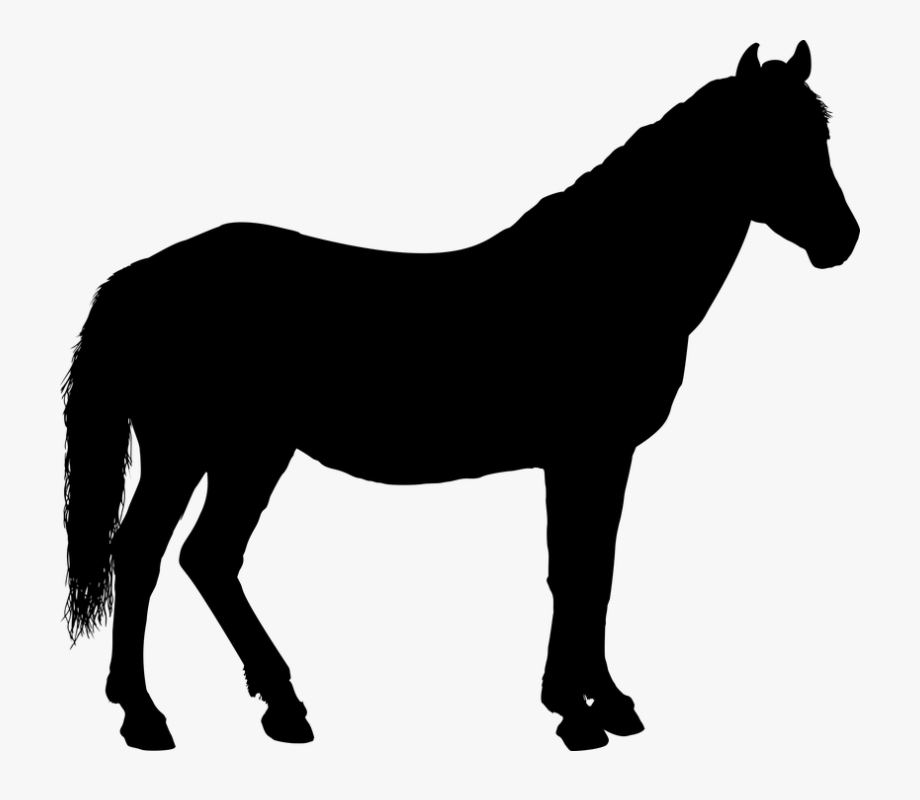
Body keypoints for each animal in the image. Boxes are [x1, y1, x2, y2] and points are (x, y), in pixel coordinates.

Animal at [62, 41, 859, 751]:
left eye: (820, 134)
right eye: (766, 138)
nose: (842, 239)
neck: (604, 277)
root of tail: (139, 280)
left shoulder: (601, 458)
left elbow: (593, 572)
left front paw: (603, 702)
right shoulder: (583, 455)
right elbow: (575, 572)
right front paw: (576, 713)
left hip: (250, 451)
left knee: (208, 557)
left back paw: (282, 706)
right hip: (188, 448)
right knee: (142, 555)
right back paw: (145, 717)